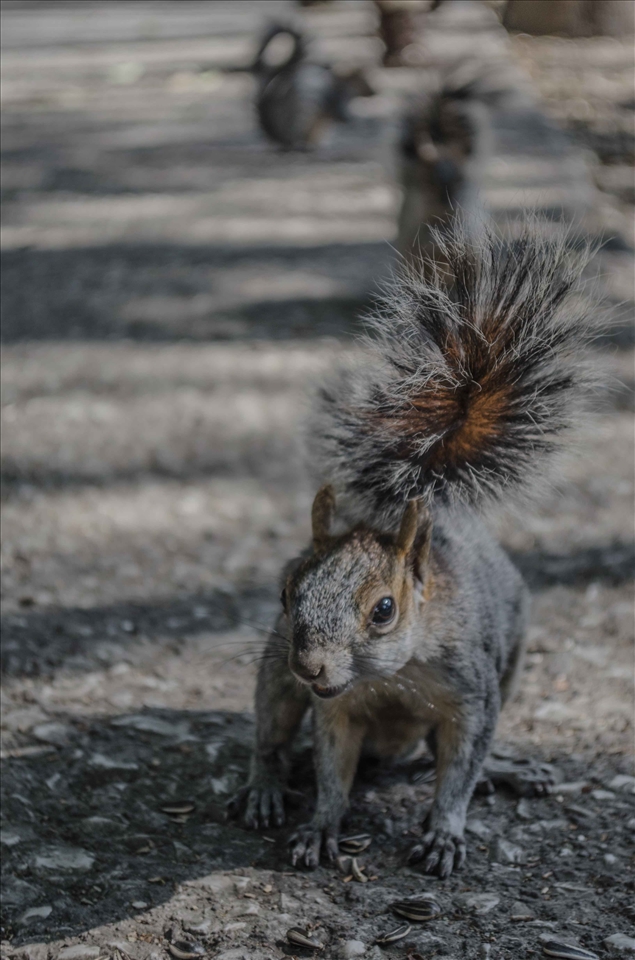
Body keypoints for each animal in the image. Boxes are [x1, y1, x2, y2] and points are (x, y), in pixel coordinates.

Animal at [229, 223, 596, 877]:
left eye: (384, 610)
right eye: (285, 593)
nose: (311, 667)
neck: (394, 675)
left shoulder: (473, 695)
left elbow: (461, 768)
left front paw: (445, 832)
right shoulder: (335, 708)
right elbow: (332, 769)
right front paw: (321, 826)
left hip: (512, 664)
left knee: (444, 755)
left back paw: (509, 770)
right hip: (273, 671)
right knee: (271, 733)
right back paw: (265, 787)